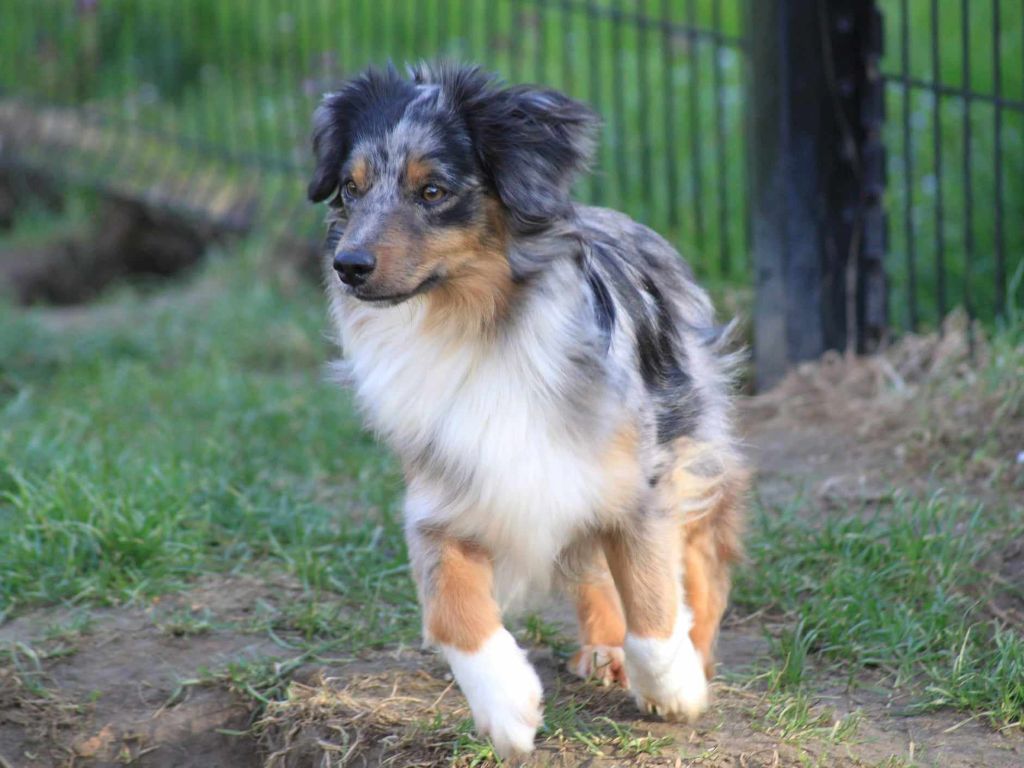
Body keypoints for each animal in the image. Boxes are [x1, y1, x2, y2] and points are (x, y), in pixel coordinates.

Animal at [303, 63, 745, 761]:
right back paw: (602, 648)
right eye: (351, 187)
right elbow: (450, 607)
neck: (476, 326)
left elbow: (652, 591)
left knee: (699, 559)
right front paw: (507, 706)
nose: (349, 266)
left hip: (690, 432)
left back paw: (692, 652)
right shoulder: (443, 498)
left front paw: (675, 687)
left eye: (433, 190)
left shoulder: (636, 477)